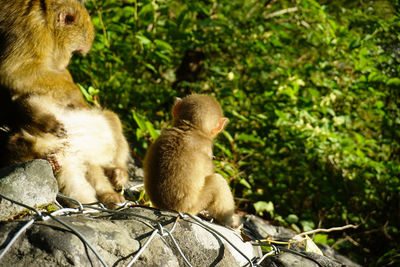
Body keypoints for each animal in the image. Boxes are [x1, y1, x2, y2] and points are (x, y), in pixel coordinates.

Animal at [144, 94, 234, 226]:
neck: (189, 128)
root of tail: (170, 208)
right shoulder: (207, 150)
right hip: (193, 206)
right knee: (218, 182)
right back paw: (231, 222)